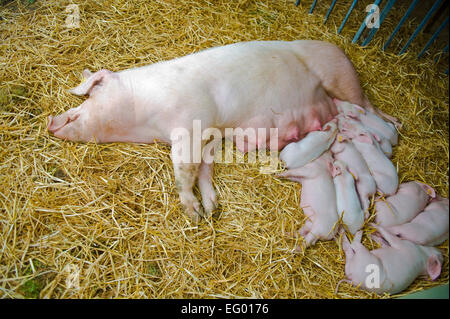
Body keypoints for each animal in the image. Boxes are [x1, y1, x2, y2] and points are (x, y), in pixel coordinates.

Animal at [47, 40, 388, 222]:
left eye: (91, 93)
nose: (51, 122)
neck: (146, 119)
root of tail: (339, 48)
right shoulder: (208, 136)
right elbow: (204, 168)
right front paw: (212, 209)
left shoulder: (189, 127)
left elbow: (184, 170)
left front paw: (194, 213)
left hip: (342, 79)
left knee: (371, 110)